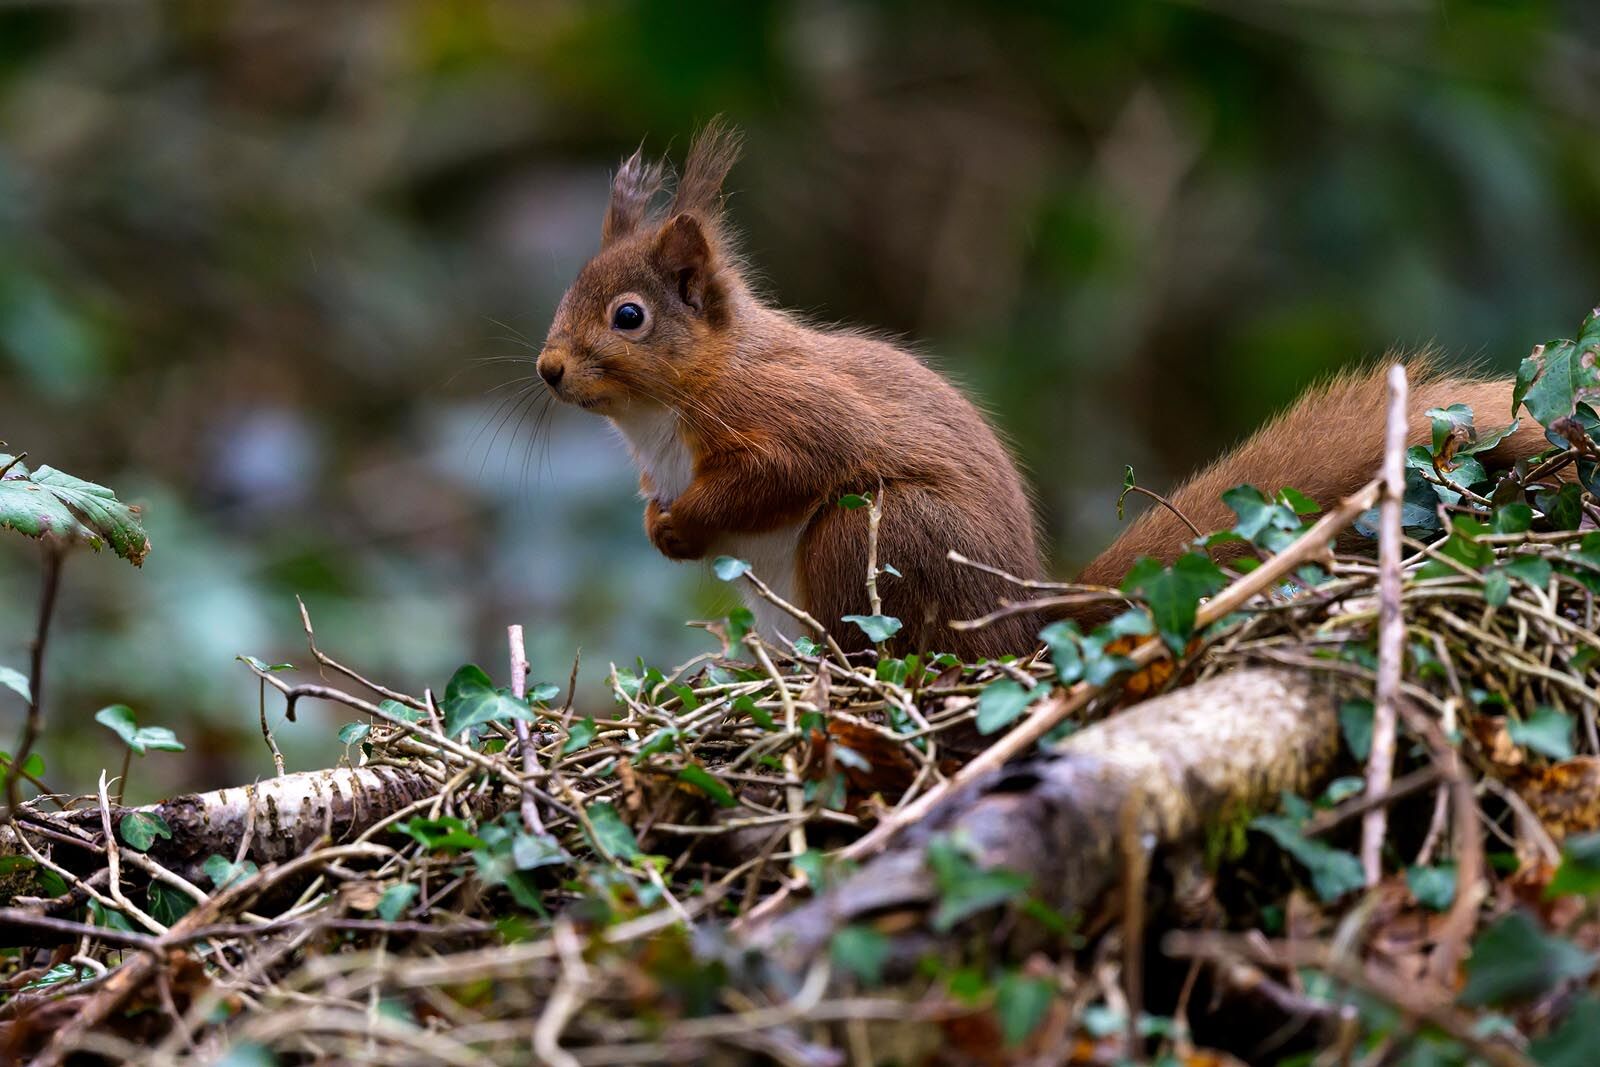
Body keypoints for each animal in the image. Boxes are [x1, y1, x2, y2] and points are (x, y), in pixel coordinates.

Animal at [537, 122, 1552, 659]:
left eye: (628, 316)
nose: (549, 370)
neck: (663, 418)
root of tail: (1024, 628)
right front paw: (656, 523)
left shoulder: (785, 411)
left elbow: (788, 467)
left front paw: (680, 526)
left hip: (875, 541)